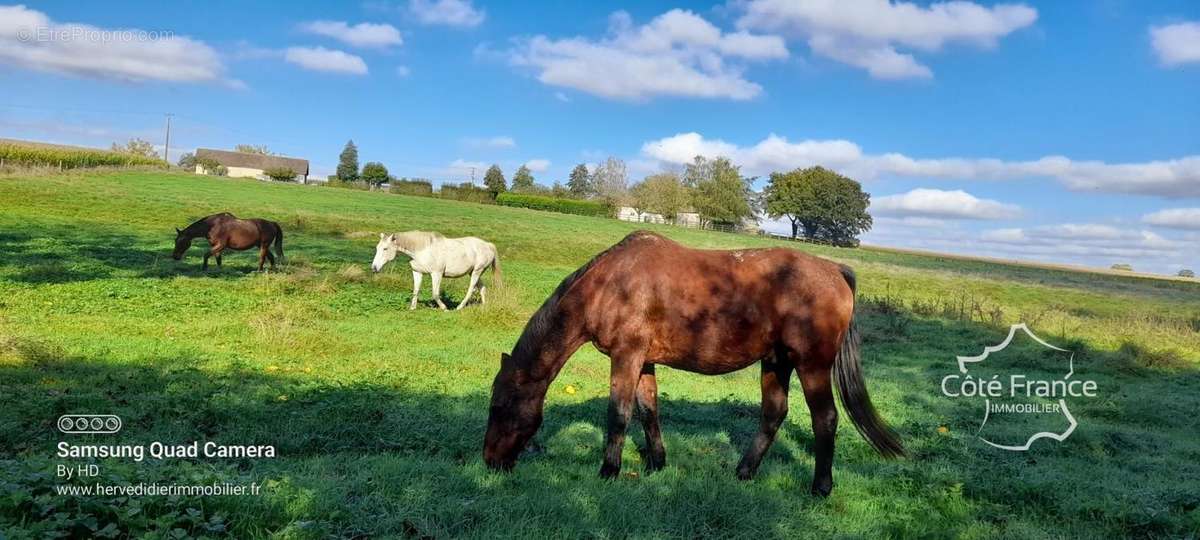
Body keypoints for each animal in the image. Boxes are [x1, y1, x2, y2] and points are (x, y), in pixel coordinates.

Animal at [364, 230, 496, 309]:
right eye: (377, 248)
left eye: (385, 249)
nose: (374, 268)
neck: (422, 250)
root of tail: (488, 245)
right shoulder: (417, 272)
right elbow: (416, 290)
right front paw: (412, 308)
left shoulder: (436, 274)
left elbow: (435, 294)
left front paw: (445, 308)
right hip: (474, 272)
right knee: (482, 288)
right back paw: (484, 306)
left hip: (476, 272)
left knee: (471, 289)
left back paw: (459, 307)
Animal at [482, 230, 902, 496]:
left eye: (499, 406)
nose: (489, 462)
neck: (609, 285)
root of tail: (836, 271)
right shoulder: (643, 361)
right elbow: (648, 410)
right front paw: (656, 464)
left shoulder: (626, 357)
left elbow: (618, 414)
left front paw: (609, 471)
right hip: (776, 363)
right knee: (773, 414)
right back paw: (743, 472)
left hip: (811, 365)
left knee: (825, 419)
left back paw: (820, 488)